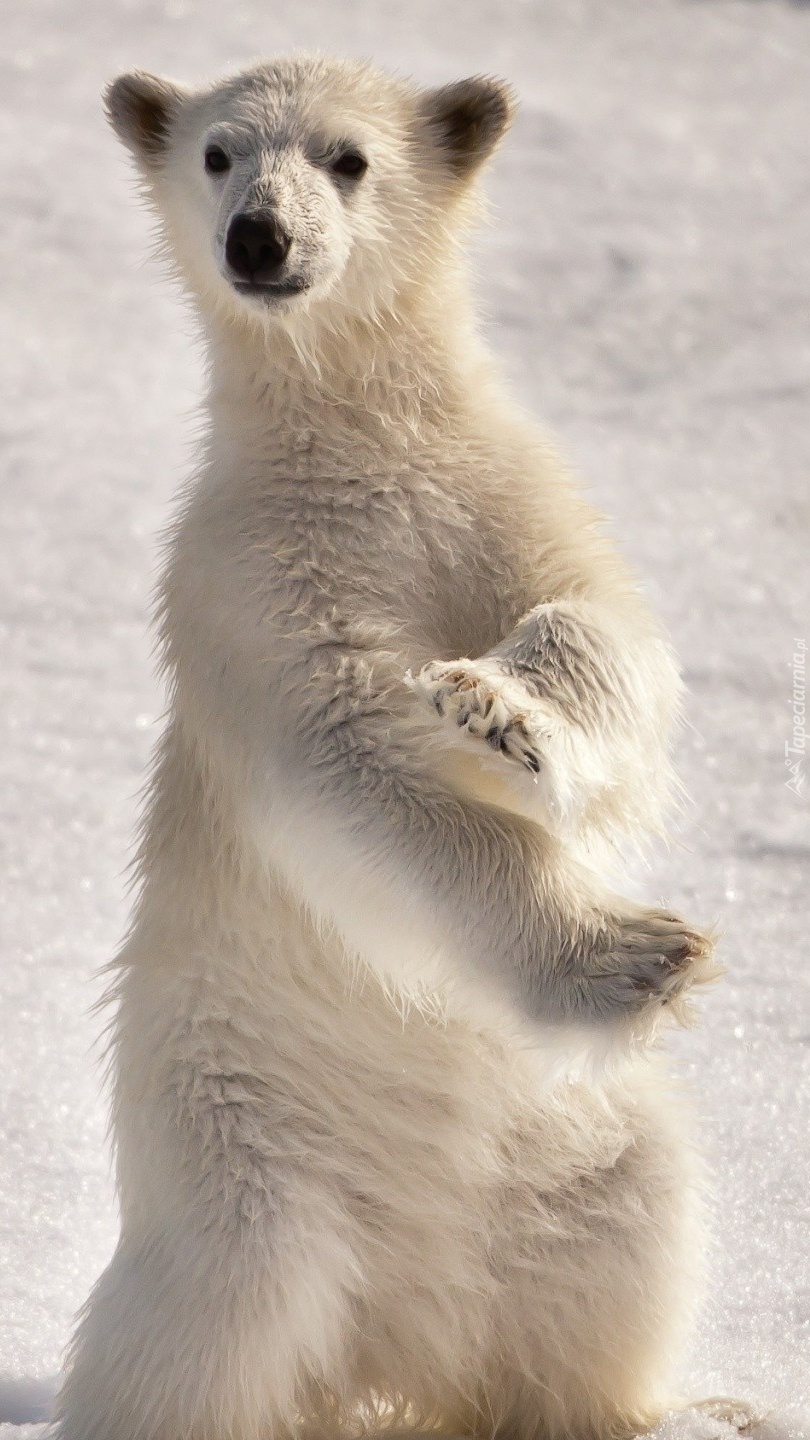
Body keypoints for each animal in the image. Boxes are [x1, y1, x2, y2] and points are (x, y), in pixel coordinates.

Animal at [55, 59, 726, 1440]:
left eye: (349, 158)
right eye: (217, 153)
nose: (261, 239)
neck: (358, 443)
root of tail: (395, 1342)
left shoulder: (502, 493)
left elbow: (605, 630)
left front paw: (500, 713)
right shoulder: (252, 578)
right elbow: (348, 762)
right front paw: (631, 955)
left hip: (573, 1145)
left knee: (626, 1234)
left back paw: (657, 1407)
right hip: (238, 1145)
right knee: (211, 1325)